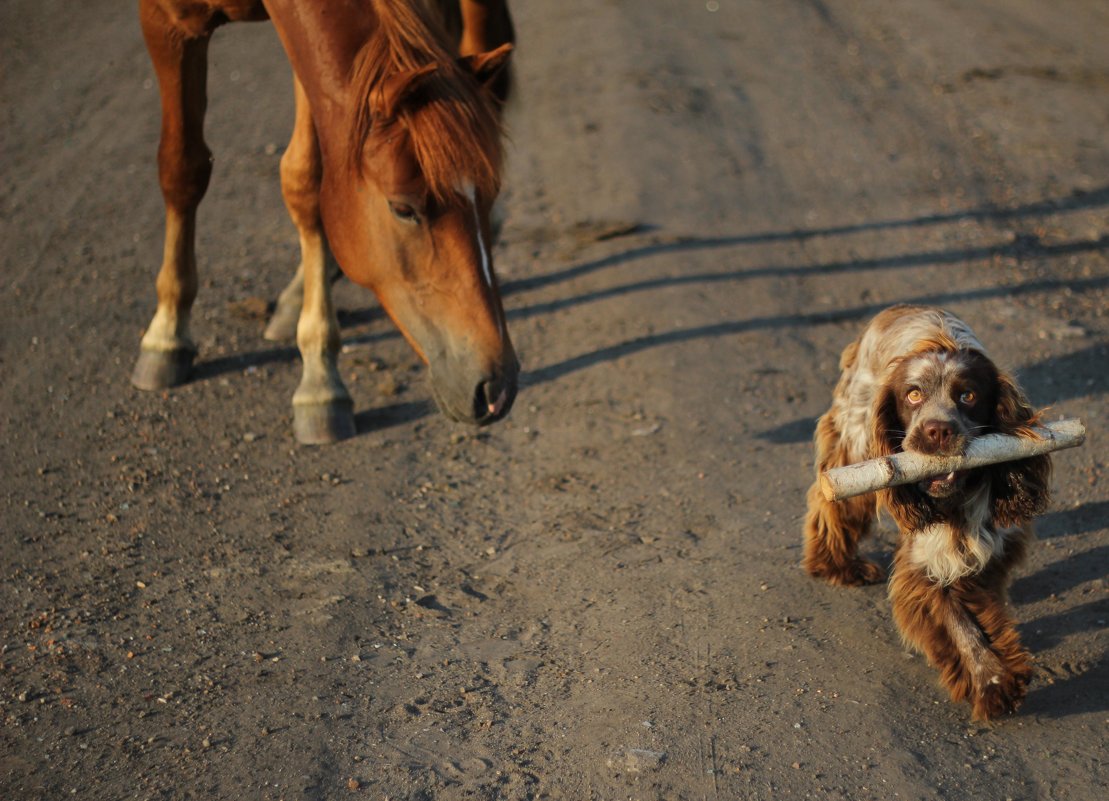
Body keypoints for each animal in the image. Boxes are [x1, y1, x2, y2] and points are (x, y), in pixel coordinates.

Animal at [131, 0, 521, 443]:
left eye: (492, 192)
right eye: (404, 209)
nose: (496, 386)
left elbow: (306, 181)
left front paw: (319, 378)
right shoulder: (166, 22)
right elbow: (182, 168)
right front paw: (166, 333)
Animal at [802, 303, 1051, 718]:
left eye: (968, 395)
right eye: (913, 395)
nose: (937, 431)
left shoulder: (989, 545)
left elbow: (976, 605)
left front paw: (999, 675)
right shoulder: (925, 561)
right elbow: (958, 624)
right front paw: (992, 683)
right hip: (853, 440)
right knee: (831, 500)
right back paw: (836, 565)